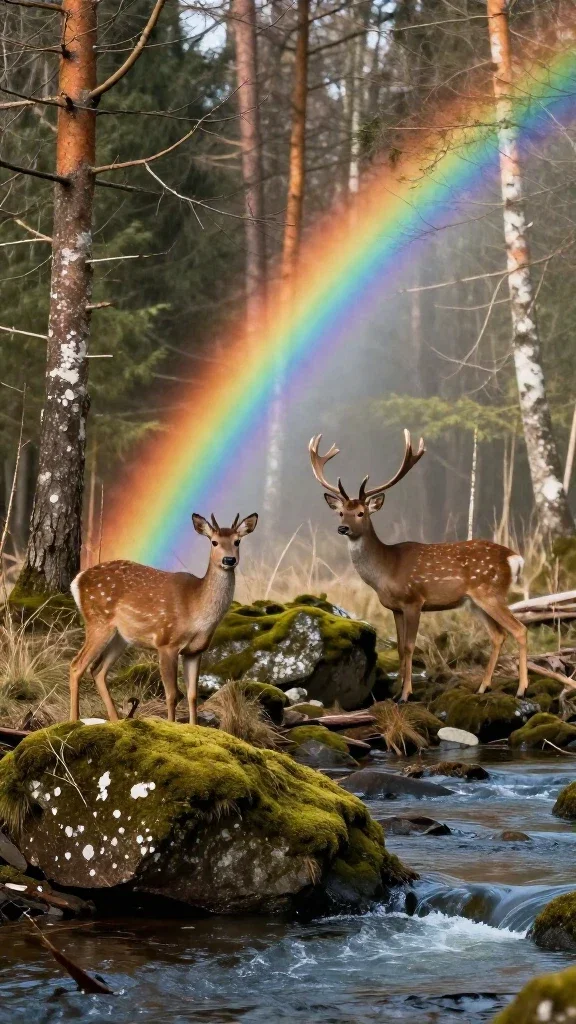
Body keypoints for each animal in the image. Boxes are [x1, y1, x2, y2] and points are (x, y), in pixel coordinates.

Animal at [69, 512, 258, 725]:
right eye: (214, 542)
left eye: (237, 541)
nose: (229, 559)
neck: (196, 611)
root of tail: (77, 580)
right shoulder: (166, 642)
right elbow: (172, 694)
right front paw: (171, 724)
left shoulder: (195, 651)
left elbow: (192, 695)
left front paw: (193, 726)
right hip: (98, 621)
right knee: (77, 665)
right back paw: (73, 721)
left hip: (120, 637)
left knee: (98, 670)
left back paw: (116, 721)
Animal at [309, 430, 530, 703]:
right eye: (341, 512)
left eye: (361, 513)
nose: (343, 528)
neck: (386, 570)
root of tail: (515, 558)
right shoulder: (395, 607)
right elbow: (400, 649)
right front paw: (395, 693)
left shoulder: (414, 600)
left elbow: (409, 645)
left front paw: (406, 694)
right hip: (474, 602)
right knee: (498, 635)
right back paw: (482, 687)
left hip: (491, 591)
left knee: (520, 629)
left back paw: (521, 688)